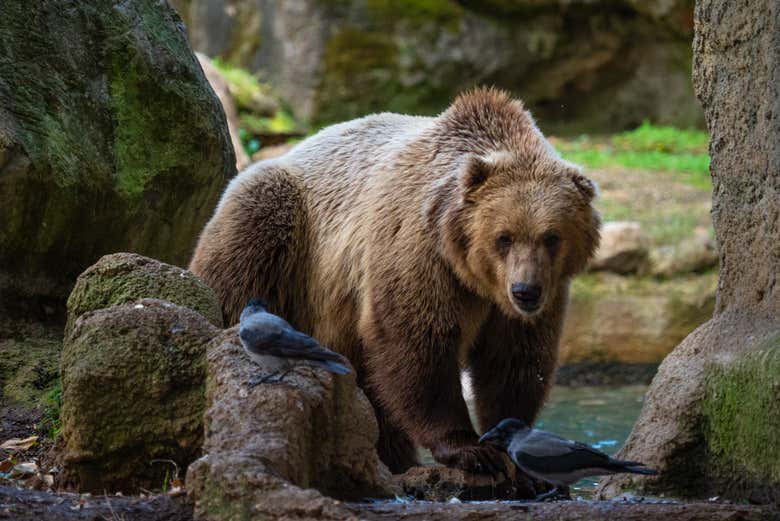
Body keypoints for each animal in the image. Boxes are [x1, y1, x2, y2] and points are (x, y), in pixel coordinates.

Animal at [190, 88, 604, 476]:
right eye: (504, 237)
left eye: (552, 237)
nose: (525, 291)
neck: (471, 273)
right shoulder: (418, 249)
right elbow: (416, 339)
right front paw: (469, 449)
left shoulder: (537, 296)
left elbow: (513, 359)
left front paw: (517, 454)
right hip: (287, 235)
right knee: (241, 262)